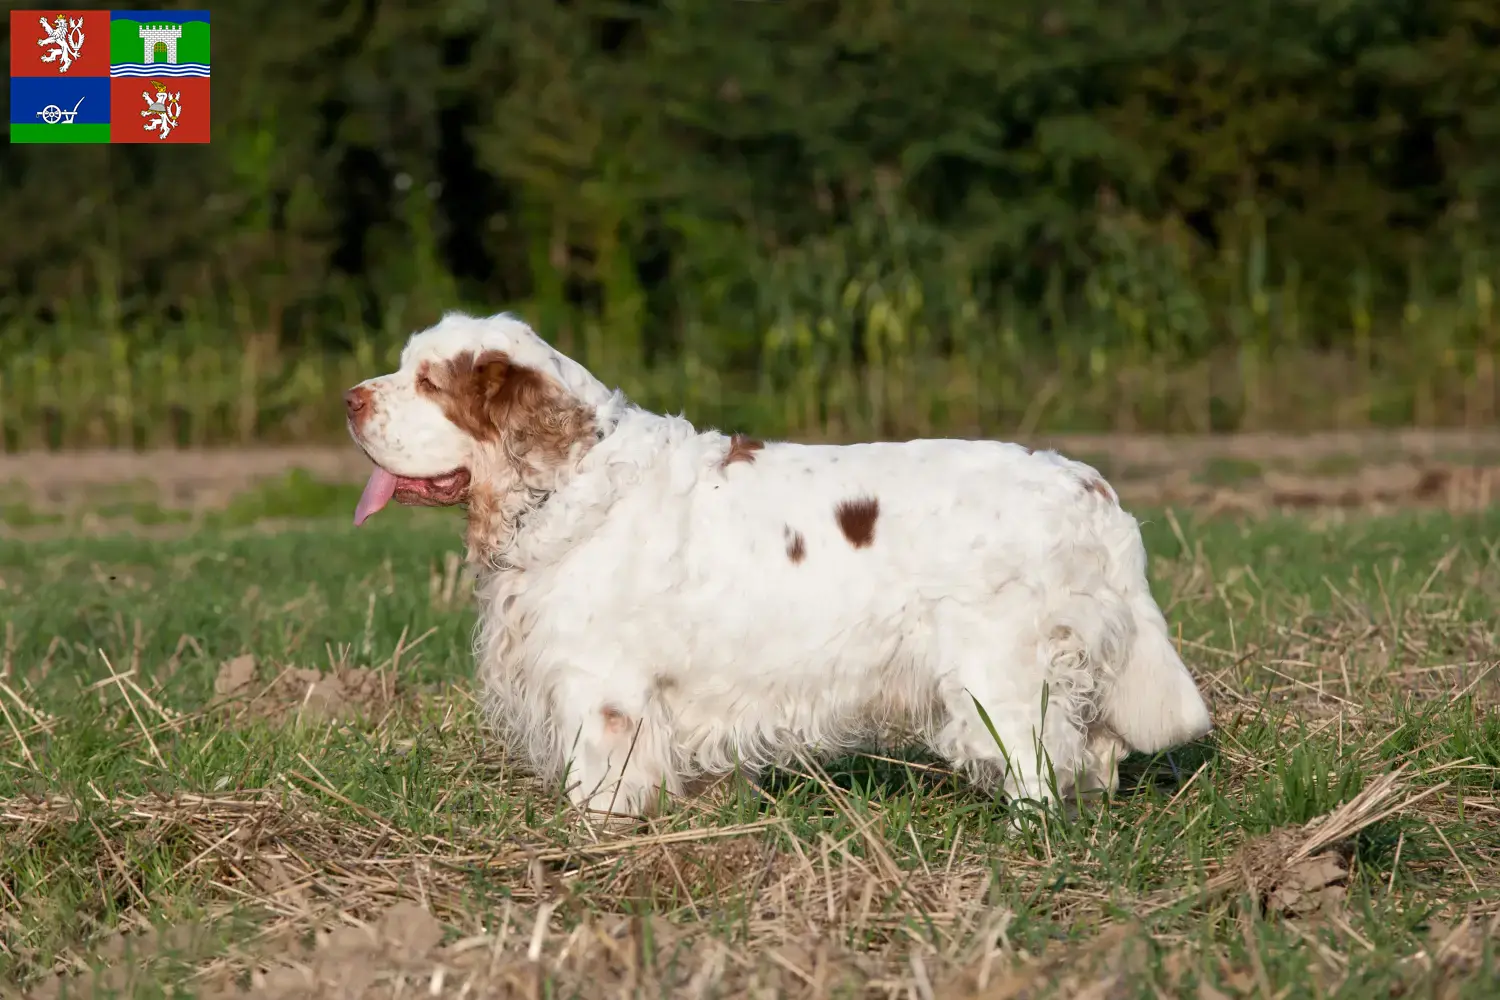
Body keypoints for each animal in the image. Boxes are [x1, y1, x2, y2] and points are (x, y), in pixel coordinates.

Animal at [345, 314, 1212, 821]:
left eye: (429, 382)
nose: (350, 400)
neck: (571, 480)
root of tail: (1090, 487)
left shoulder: (603, 692)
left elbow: (599, 788)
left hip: (1001, 677)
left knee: (1042, 763)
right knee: (1096, 751)